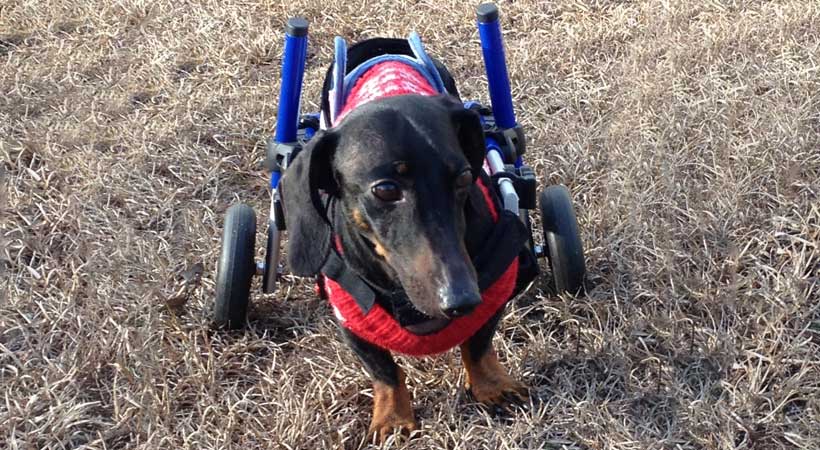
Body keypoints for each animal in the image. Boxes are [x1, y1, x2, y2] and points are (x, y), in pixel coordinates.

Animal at [278, 37, 536, 442]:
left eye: (465, 176)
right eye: (385, 189)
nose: (462, 299)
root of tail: (379, 44)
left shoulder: (495, 289)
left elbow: (478, 344)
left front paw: (493, 387)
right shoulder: (351, 318)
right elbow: (384, 370)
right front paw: (393, 416)